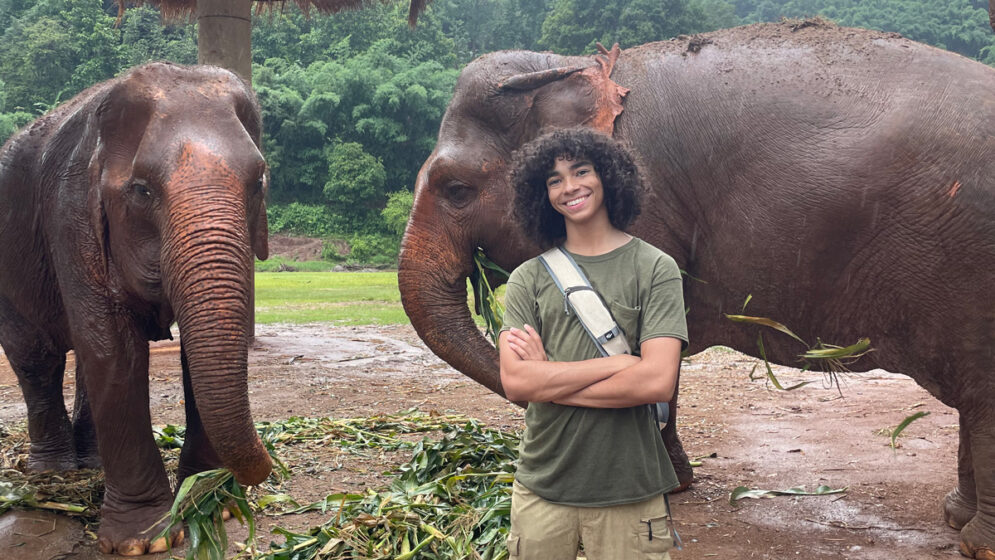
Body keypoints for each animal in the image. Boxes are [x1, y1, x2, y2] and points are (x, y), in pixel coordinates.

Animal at [0, 62, 272, 556]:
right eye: (142, 190)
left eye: (258, 182)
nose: (262, 470)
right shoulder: (72, 215)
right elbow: (113, 347)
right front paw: (144, 541)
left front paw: (210, 508)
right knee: (37, 358)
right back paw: (55, 471)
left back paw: (90, 462)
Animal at [400, 19, 995, 556]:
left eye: (457, 190)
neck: (572, 69)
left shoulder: (642, 204)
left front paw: (666, 484)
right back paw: (956, 517)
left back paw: (976, 542)